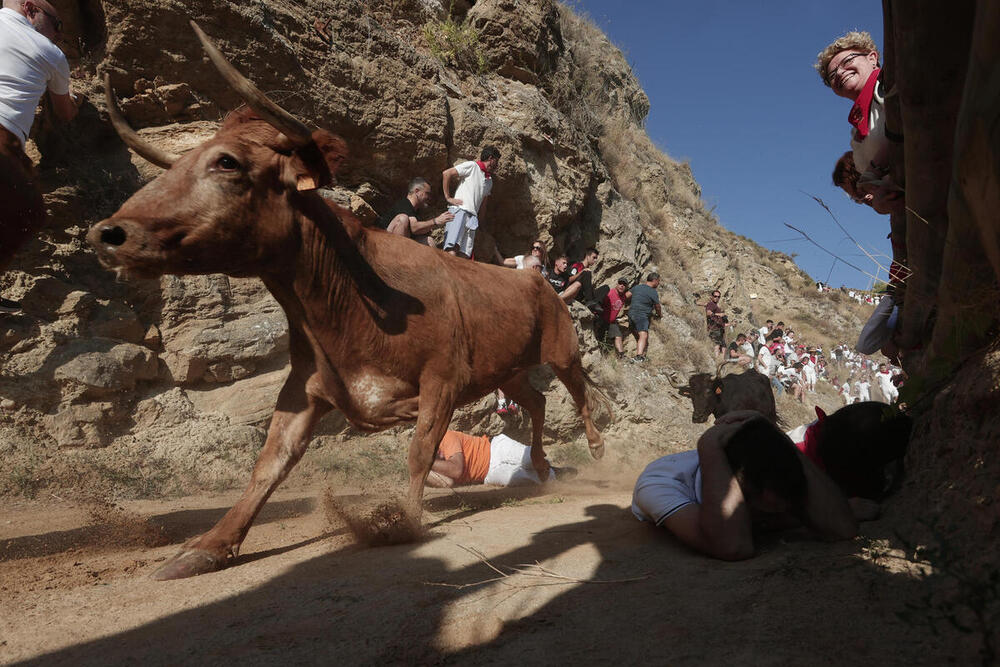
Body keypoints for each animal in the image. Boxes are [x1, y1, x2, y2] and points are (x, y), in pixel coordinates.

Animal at [90, 24, 608, 580]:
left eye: (227, 162)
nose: (109, 233)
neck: (352, 299)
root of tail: (539, 280)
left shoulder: (443, 378)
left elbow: (421, 449)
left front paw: (403, 520)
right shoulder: (308, 385)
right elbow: (271, 462)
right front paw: (207, 547)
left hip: (561, 349)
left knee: (578, 393)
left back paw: (596, 447)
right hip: (506, 369)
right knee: (536, 400)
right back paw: (541, 465)